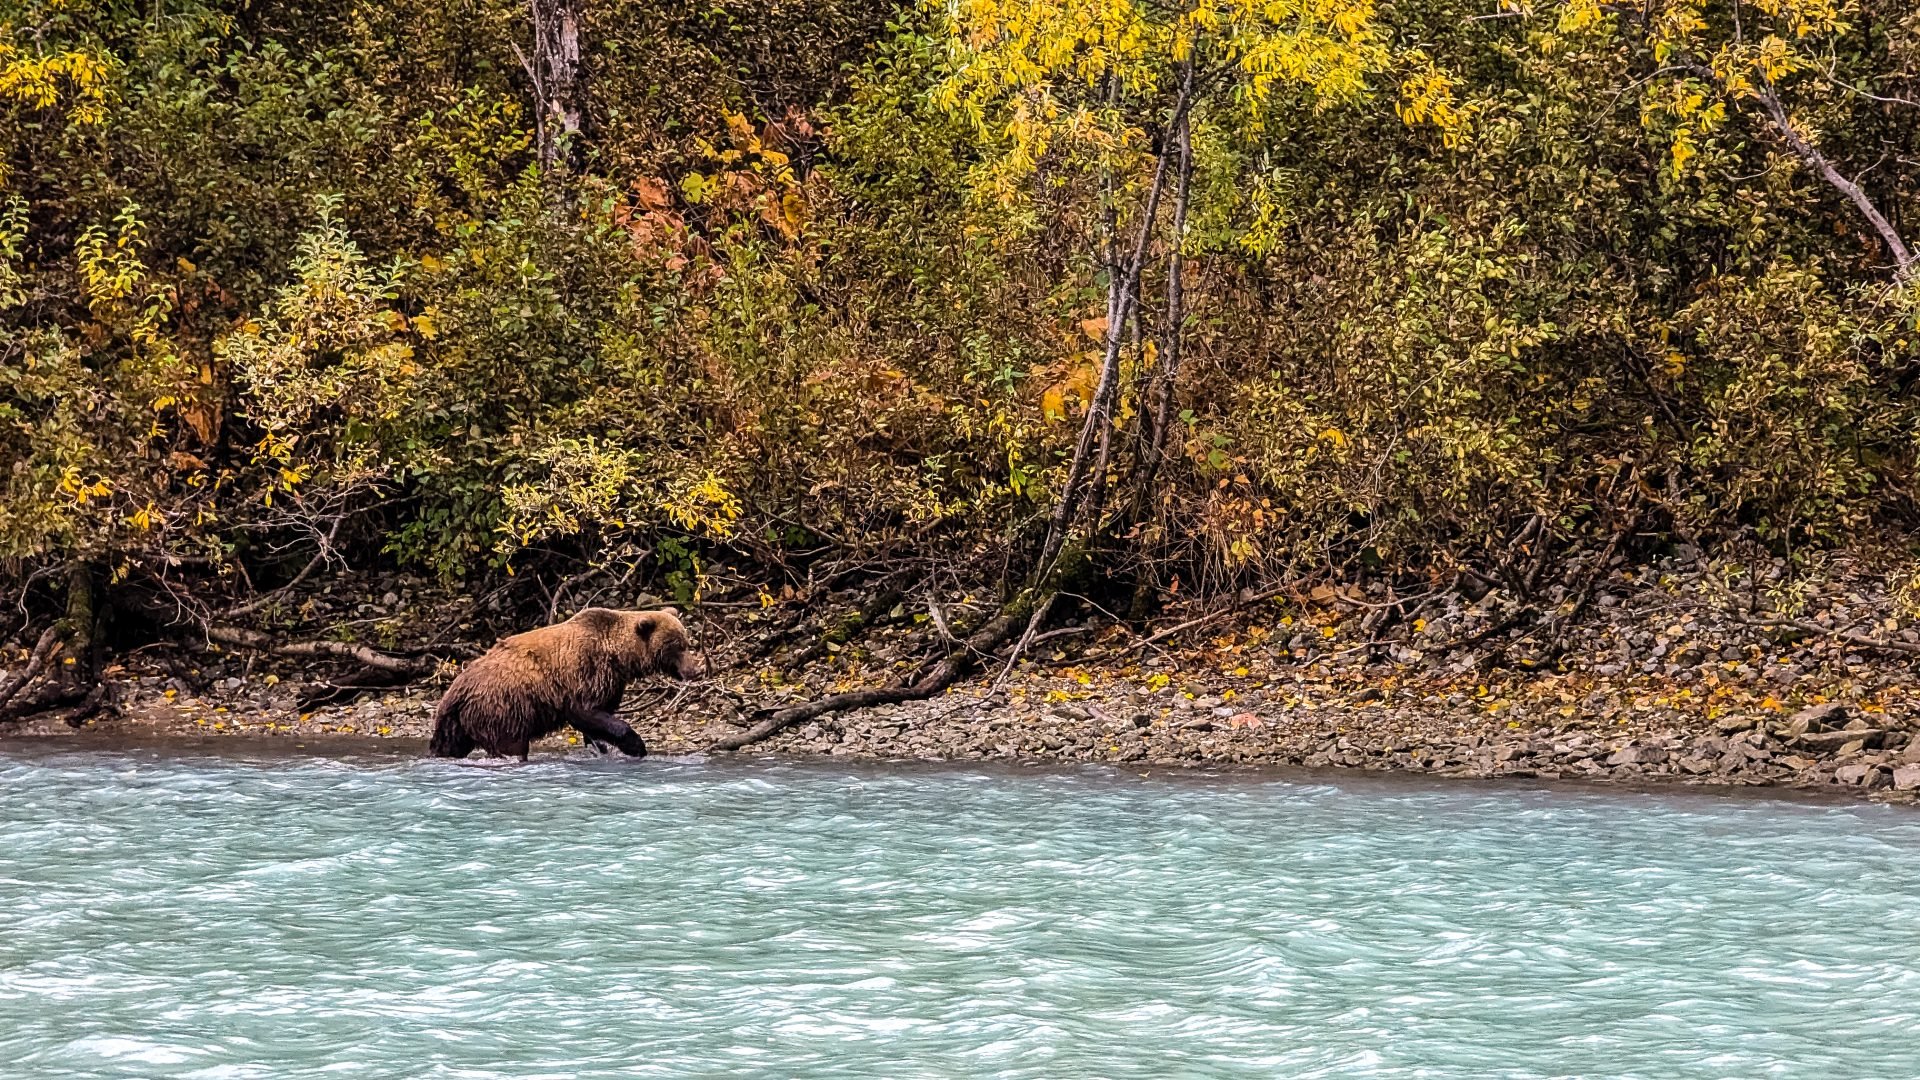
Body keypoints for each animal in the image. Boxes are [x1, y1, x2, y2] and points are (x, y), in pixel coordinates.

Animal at [428, 607, 706, 757]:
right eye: (677, 645)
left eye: (686, 642)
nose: (695, 670)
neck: (619, 656)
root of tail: (454, 692)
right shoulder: (586, 671)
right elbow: (585, 711)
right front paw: (635, 744)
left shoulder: (611, 681)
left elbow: (598, 718)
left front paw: (601, 746)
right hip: (502, 708)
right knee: (510, 745)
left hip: (457, 722)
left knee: (447, 745)